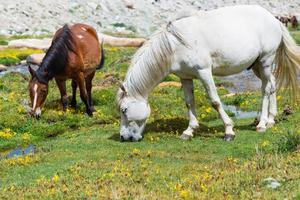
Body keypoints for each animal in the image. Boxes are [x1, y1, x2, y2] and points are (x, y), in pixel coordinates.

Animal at [117, 5, 300, 142]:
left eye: (124, 110)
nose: (124, 137)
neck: (176, 44)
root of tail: (273, 19)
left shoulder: (204, 72)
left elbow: (215, 101)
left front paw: (229, 131)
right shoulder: (185, 77)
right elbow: (189, 102)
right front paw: (189, 131)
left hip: (265, 62)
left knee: (266, 90)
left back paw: (261, 124)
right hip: (257, 66)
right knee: (272, 85)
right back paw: (271, 120)